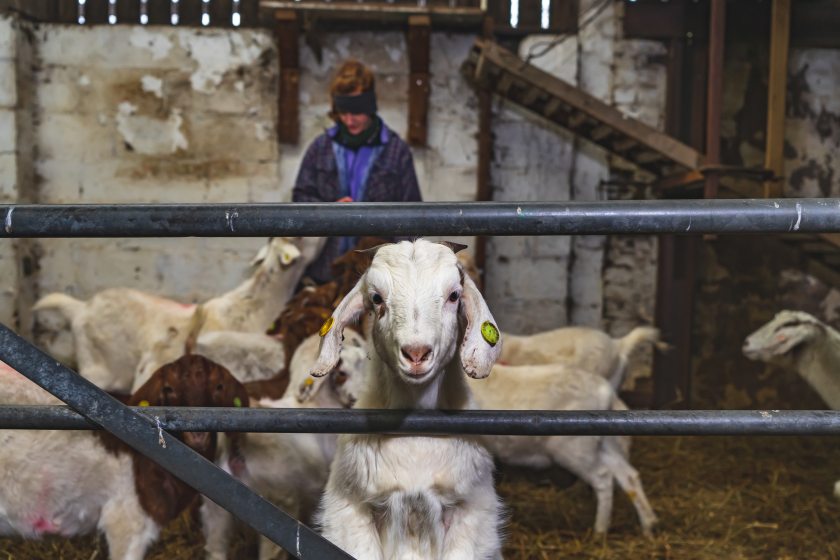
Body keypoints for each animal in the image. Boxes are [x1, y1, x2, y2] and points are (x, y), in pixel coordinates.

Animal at [200, 332, 368, 560]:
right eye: (342, 373)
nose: (357, 398)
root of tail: (238, 440)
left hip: (216, 505)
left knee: (215, 549)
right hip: (275, 508)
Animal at [466, 366, 656, 536]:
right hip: (604, 444)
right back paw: (648, 525)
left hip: (574, 448)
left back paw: (600, 531)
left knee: (603, 477)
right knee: (628, 476)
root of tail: (606, 392)